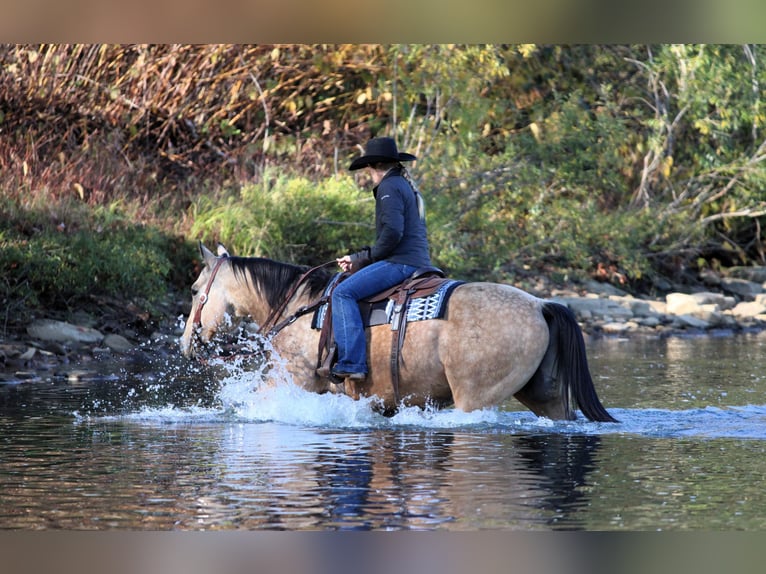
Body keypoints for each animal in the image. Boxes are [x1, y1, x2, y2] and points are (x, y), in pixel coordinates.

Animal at [180, 243, 618, 423]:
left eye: (196, 290)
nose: (184, 345)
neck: (301, 307)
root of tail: (541, 305)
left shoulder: (295, 380)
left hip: (474, 398)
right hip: (543, 394)